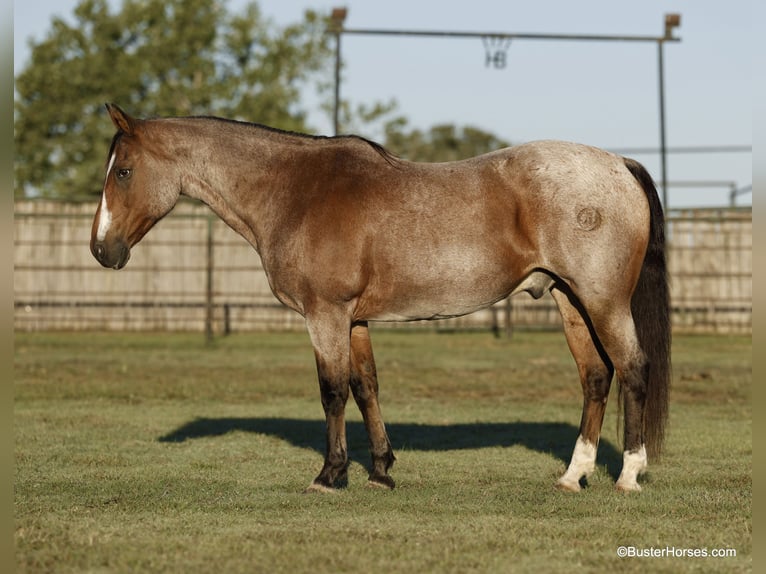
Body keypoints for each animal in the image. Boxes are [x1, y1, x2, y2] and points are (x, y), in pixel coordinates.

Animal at [91, 103, 670, 493]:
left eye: (123, 171)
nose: (101, 249)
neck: (297, 190)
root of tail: (618, 164)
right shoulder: (354, 320)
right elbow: (365, 386)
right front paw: (381, 471)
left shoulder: (325, 314)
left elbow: (332, 391)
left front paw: (330, 474)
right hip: (571, 301)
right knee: (596, 377)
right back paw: (573, 475)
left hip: (603, 301)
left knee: (633, 368)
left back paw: (629, 475)